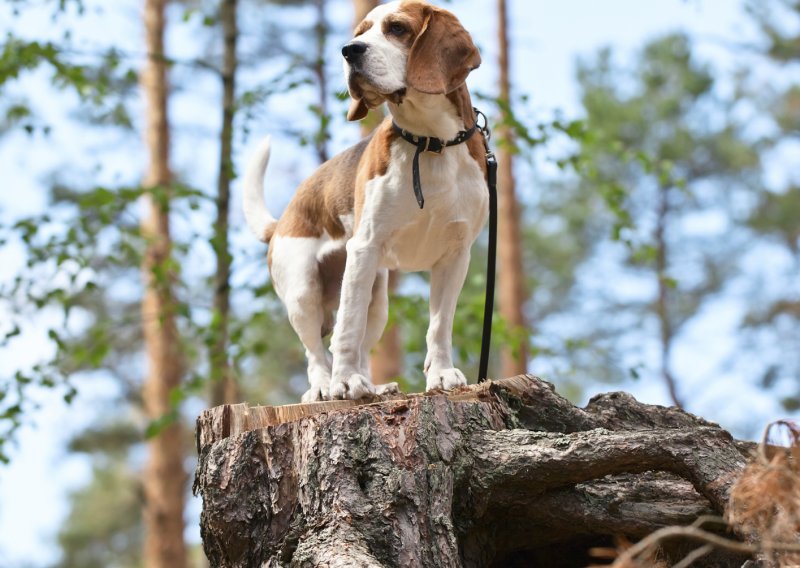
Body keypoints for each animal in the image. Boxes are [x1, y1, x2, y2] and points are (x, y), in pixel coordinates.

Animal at [242, 0, 488, 400]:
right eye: (360, 33)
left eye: (397, 28)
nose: (348, 50)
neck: (429, 142)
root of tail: (281, 223)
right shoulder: (365, 246)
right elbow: (347, 328)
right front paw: (343, 382)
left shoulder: (455, 255)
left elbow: (439, 325)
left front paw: (441, 374)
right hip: (305, 290)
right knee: (318, 351)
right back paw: (326, 387)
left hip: (377, 297)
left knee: (357, 342)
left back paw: (371, 386)